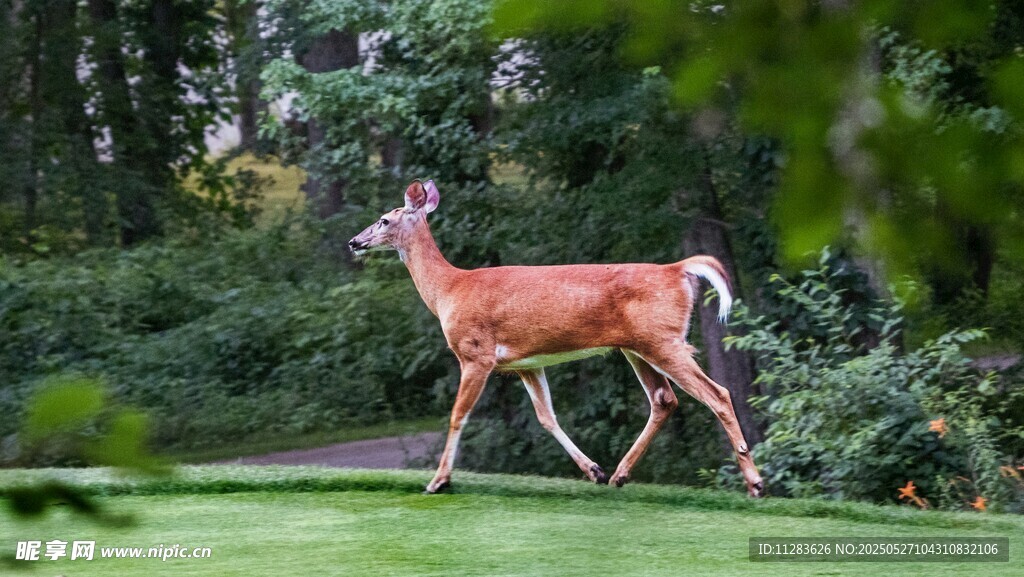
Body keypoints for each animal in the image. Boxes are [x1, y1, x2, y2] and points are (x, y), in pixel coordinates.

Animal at [348, 179, 764, 497]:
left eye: (384, 219)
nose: (354, 241)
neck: (449, 290)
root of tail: (678, 269)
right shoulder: (525, 363)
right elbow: (546, 417)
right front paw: (593, 470)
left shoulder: (476, 353)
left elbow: (457, 415)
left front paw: (438, 481)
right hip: (638, 346)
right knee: (664, 399)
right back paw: (618, 475)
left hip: (663, 340)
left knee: (717, 394)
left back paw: (755, 484)